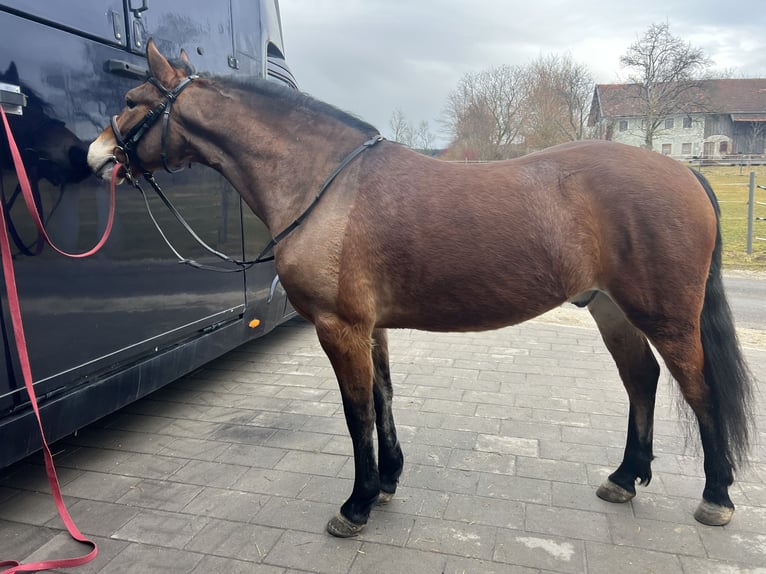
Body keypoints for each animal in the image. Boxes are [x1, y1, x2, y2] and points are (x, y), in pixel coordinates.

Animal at [87, 40, 754, 536]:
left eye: (132, 99)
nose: (96, 155)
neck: (326, 182)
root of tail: (684, 171)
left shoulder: (338, 327)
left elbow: (356, 410)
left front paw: (355, 505)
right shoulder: (371, 327)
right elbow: (383, 398)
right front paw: (386, 483)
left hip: (665, 315)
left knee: (699, 389)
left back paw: (716, 496)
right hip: (610, 309)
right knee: (641, 379)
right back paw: (623, 477)